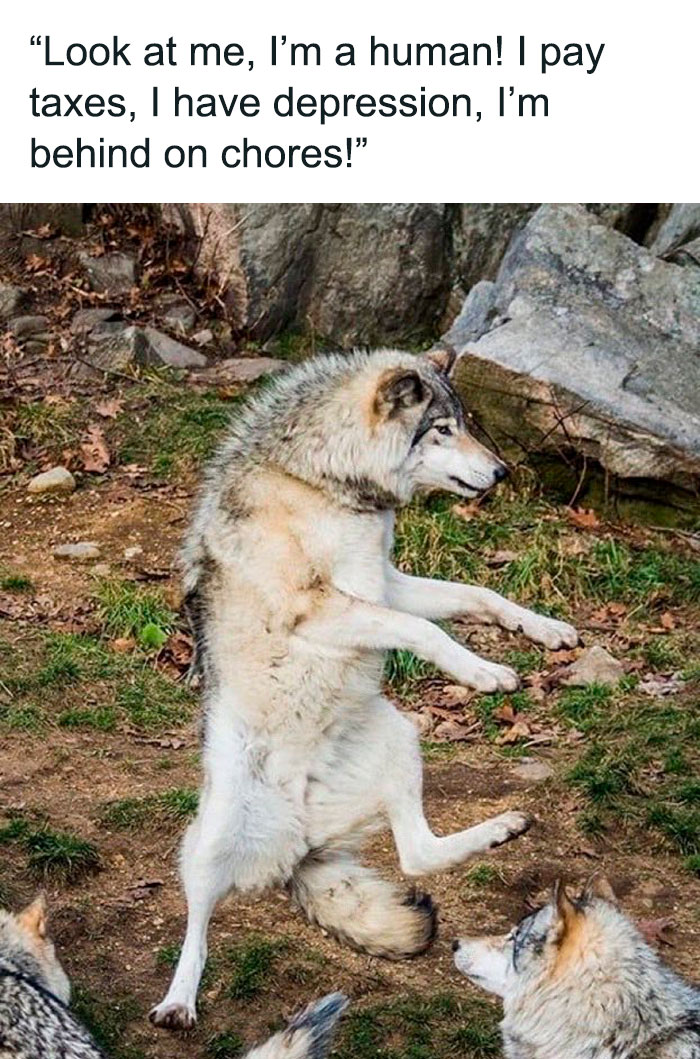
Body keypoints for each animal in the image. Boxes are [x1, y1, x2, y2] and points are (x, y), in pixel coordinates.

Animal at [151, 347, 579, 1030]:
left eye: (465, 424)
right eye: (442, 429)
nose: (502, 470)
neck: (318, 481)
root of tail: (302, 841)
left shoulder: (386, 580)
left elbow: (478, 595)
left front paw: (546, 630)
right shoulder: (320, 609)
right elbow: (424, 628)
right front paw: (484, 672)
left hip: (402, 739)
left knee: (417, 855)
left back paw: (504, 829)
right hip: (210, 839)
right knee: (197, 926)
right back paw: (178, 1002)